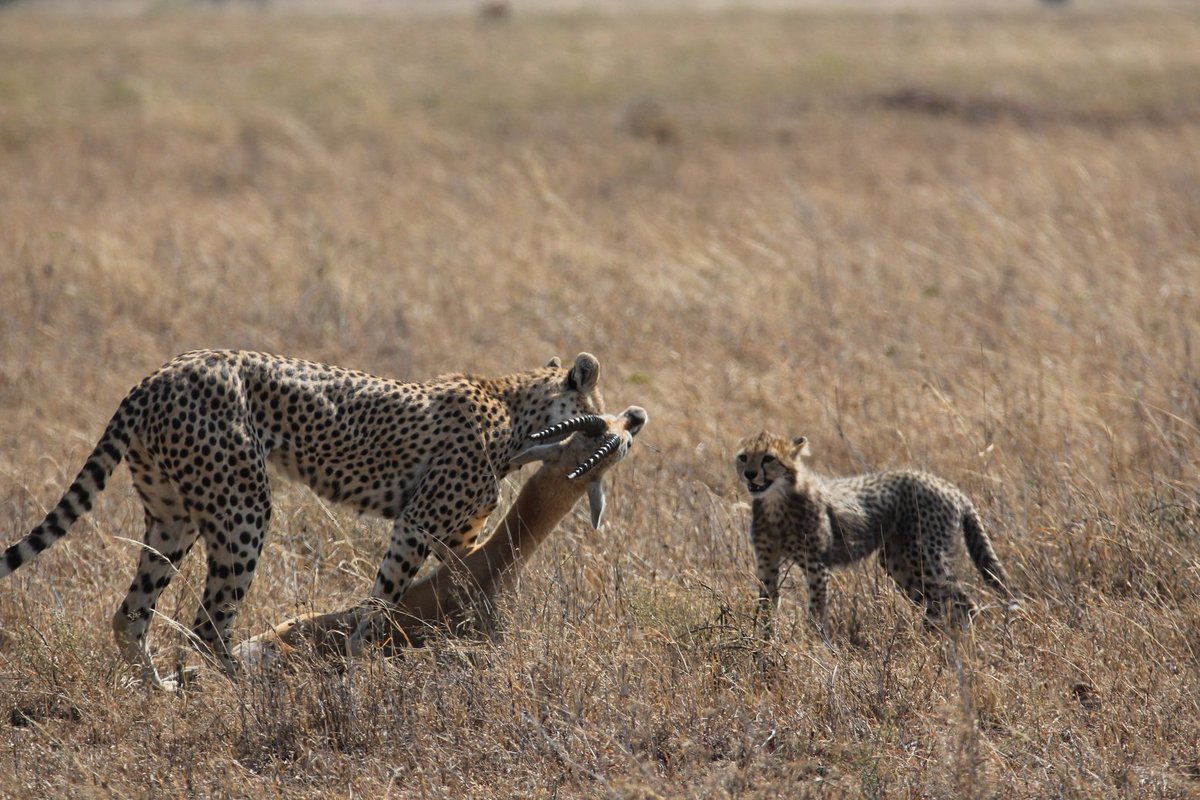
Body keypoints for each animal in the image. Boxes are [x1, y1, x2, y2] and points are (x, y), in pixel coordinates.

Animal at [1, 349, 603, 689]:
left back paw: (162, 690)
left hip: (173, 519)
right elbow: (382, 601)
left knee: (131, 616)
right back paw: (249, 687)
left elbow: (466, 577)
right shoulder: (416, 523)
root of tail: (159, 375)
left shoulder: (458, 535)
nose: (615, 427)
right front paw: (359, 662)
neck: (513, 410)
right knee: (208, 624)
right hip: (243, 507)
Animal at [734, 431, 1013, 638]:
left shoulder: (816, 565)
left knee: (964, 601)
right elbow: (766, 605)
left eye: (769, 458)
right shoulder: (767, 563)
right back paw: (929, 639)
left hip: (925, 557)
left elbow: (815, 609)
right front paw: (764, 644)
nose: (750, 474)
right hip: (898, 561)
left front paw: (813, 642)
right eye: (743, 457)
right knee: (935, 605)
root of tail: (949, 486)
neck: (775, 501)